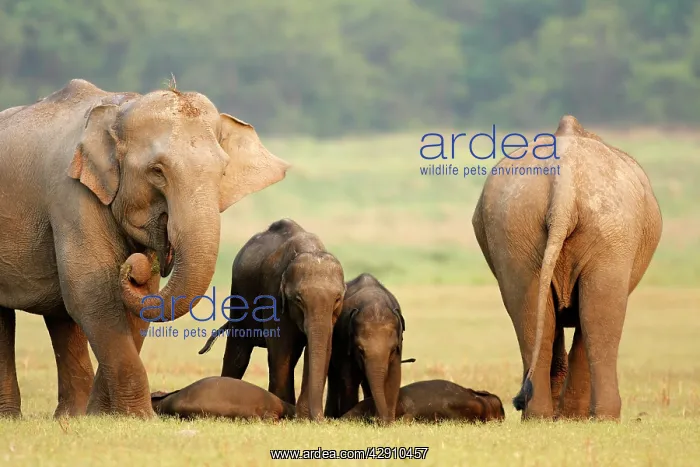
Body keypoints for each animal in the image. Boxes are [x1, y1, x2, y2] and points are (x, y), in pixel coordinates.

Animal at [197, 218, 345, 421]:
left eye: (337, 299)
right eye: (298, 300)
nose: (321, 420)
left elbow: (322, 348)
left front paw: (302, 417)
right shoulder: (272, 293)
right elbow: (281, 347)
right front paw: (287, 414)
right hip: (238, 295)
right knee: (239, 354)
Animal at [324, 273, 406, 423]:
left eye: (392, 350)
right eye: (360, 350)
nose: (380, 420)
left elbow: (395, 375)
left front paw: (389, 422)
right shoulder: (344, 340)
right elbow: (349, 378)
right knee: (334, 376)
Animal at [471, 115, 662, 421]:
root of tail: (566, 184)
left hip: (517, 227)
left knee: (536, 315)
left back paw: (541, 416)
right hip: (608, 232)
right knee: (595, 316)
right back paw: (592, 417)